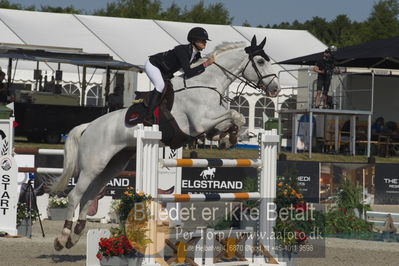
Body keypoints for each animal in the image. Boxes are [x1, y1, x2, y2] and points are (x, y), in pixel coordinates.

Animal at [48, 35, 280, 249]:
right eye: (260, 61)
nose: (275, 89)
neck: (206, 85)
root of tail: (88, 127)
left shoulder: (206, 124)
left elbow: (230, 123)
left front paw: (227, 139)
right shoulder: (200, 121)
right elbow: (235, 115)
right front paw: (230, 137)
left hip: (112, 166)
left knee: (88, 196)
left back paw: (76, 235)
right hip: (93, 164)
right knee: (75, 196)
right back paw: (62, 238)